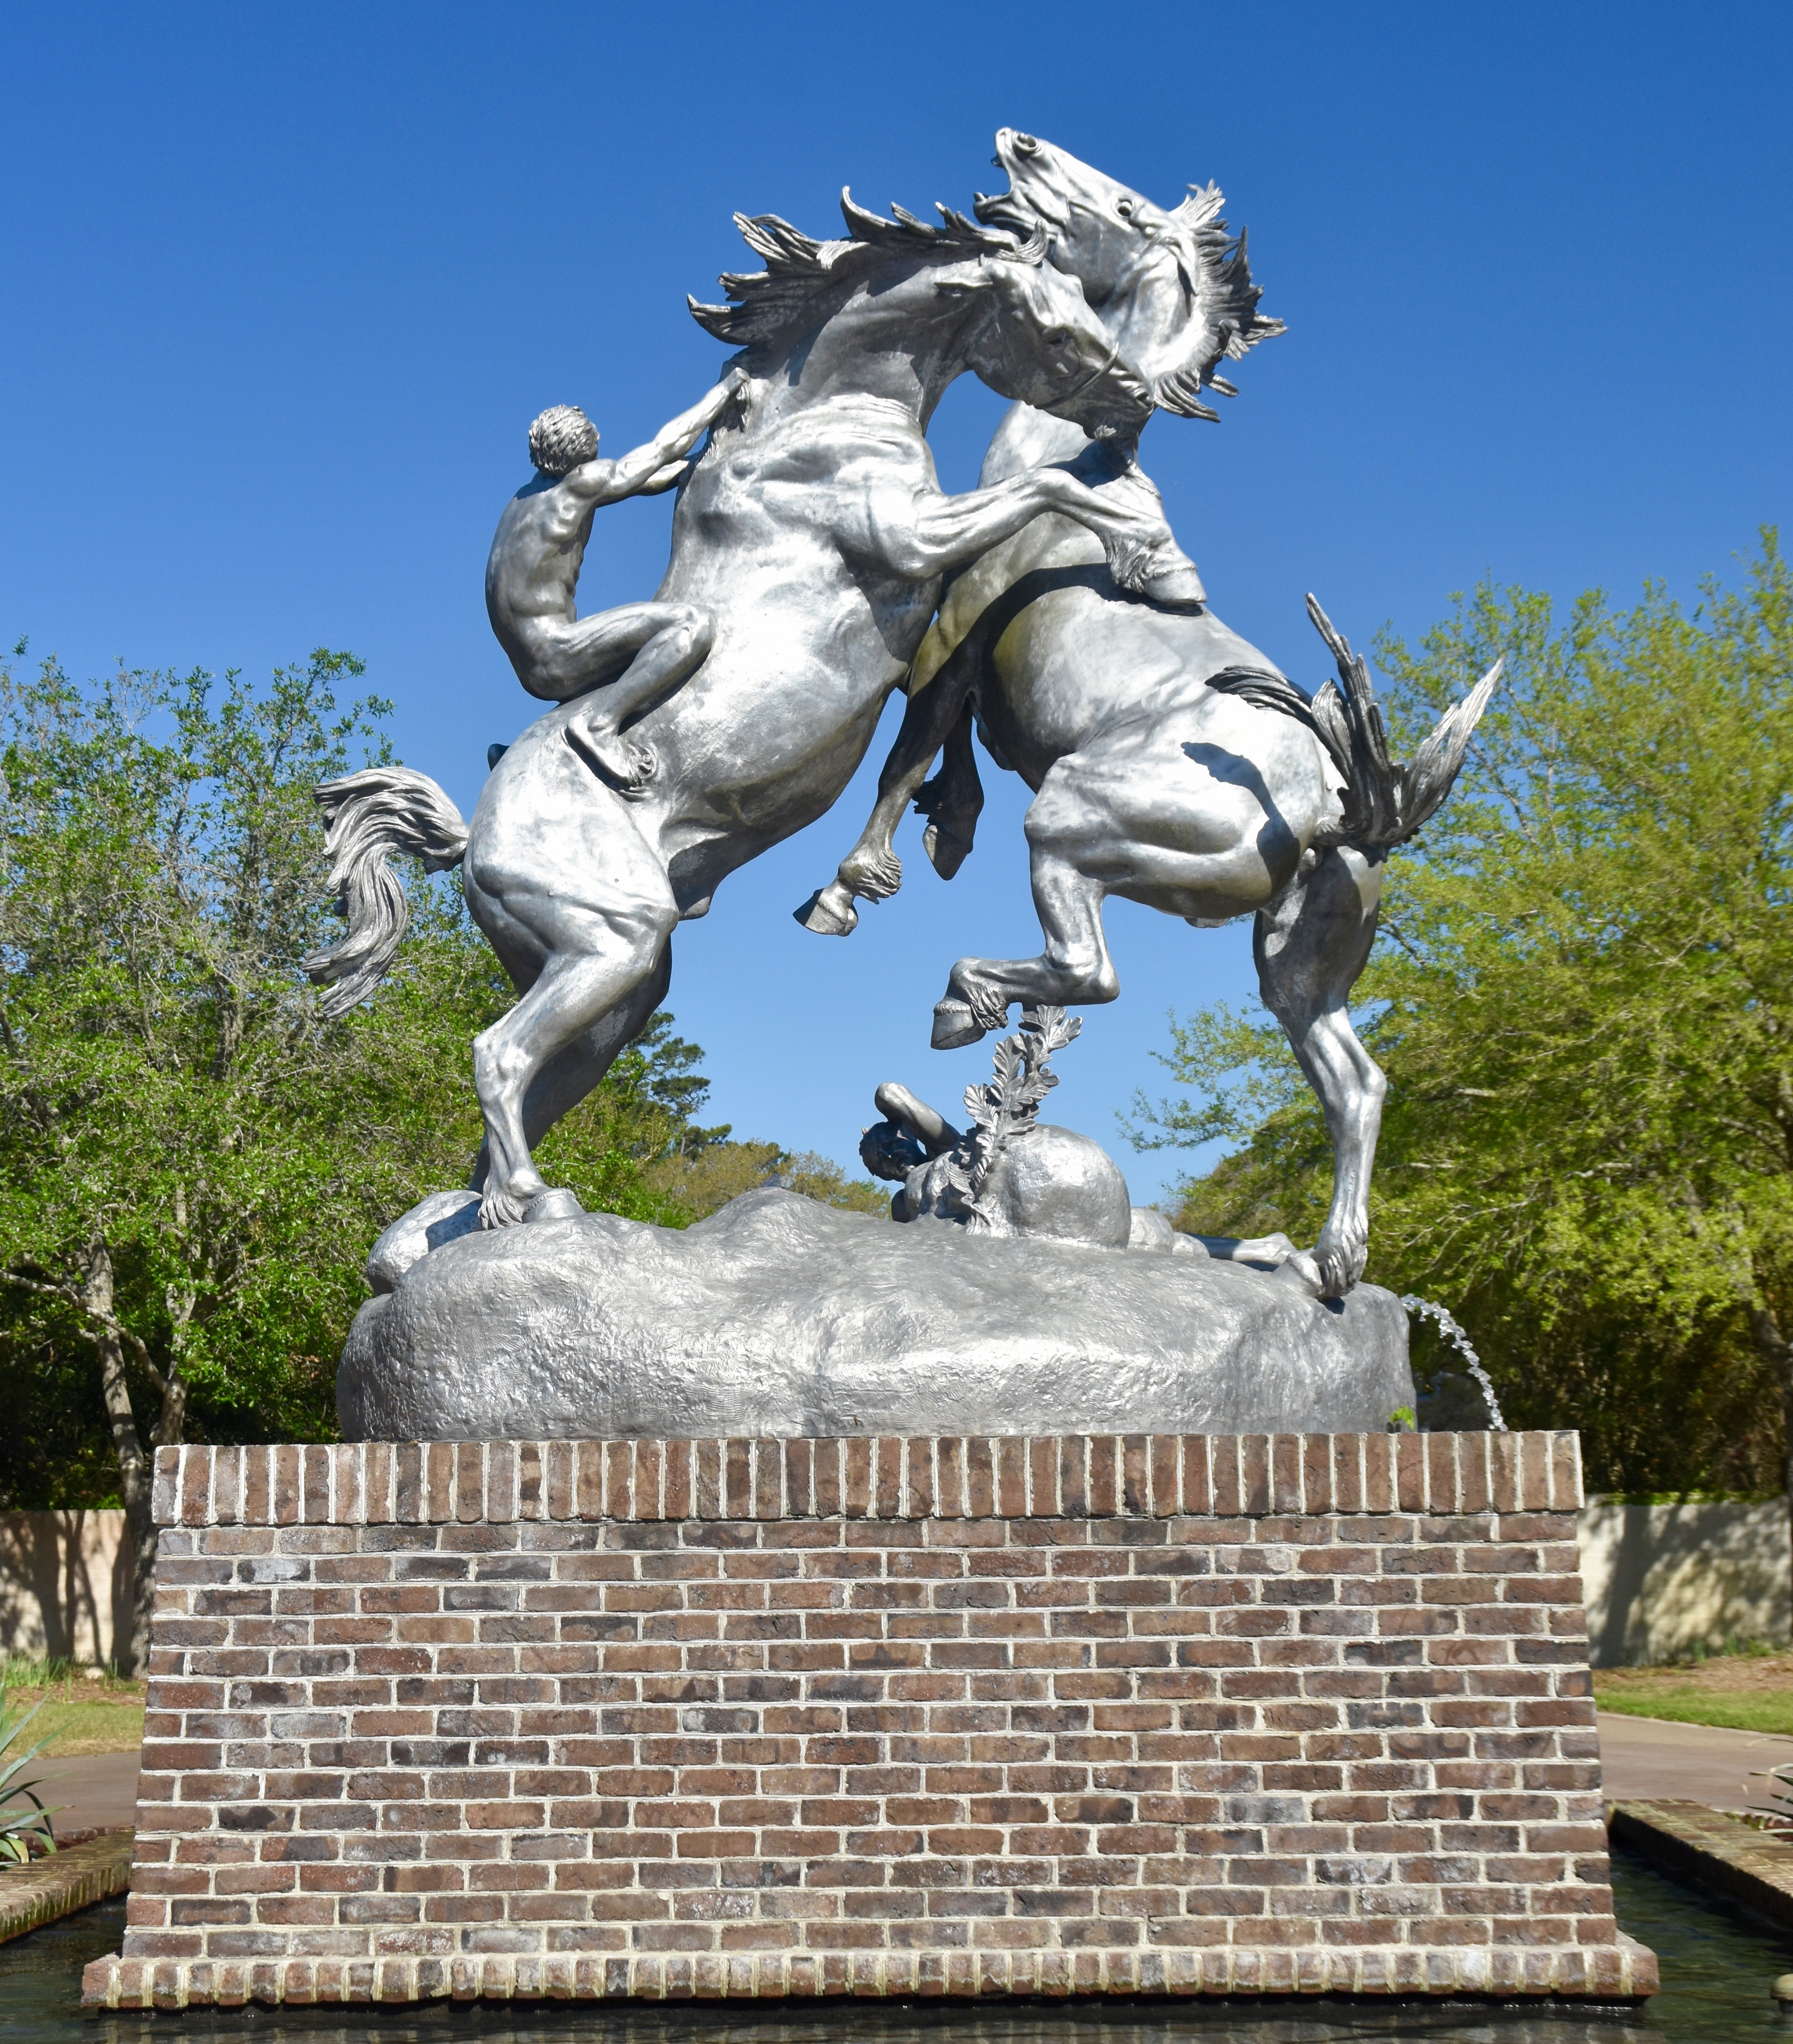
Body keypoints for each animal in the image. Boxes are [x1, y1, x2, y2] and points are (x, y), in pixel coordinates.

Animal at [304, 192, 1178, 1218]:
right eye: (1052, 324)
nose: (1136, 405)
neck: (821, 418)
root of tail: (470, 836)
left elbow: (937, 706)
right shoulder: (914, 540)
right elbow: (1041, 490)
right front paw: (1148, 548)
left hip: (615, 988)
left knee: (538, 1081)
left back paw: (495, 1211)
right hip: (610, 944)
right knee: (498, 1051)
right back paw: (532, 1197)